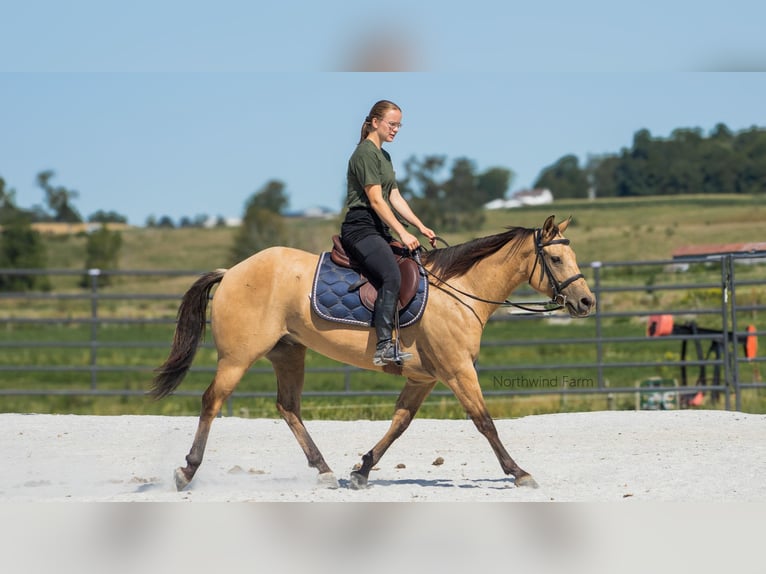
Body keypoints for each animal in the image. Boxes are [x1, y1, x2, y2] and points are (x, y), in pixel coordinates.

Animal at [148, 214, 592, 492]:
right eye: (555, 258)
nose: (586, 302)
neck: (459, 291)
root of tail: (232, 272)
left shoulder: (424, 377)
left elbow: (399, 423)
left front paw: (361, 470)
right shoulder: (457, 370)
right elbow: (485, 422)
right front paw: (519, 472)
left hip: (288, 353)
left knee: (288, 407)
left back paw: (324, 470)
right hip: (238, 358)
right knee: (212, 401)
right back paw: (187, 471)